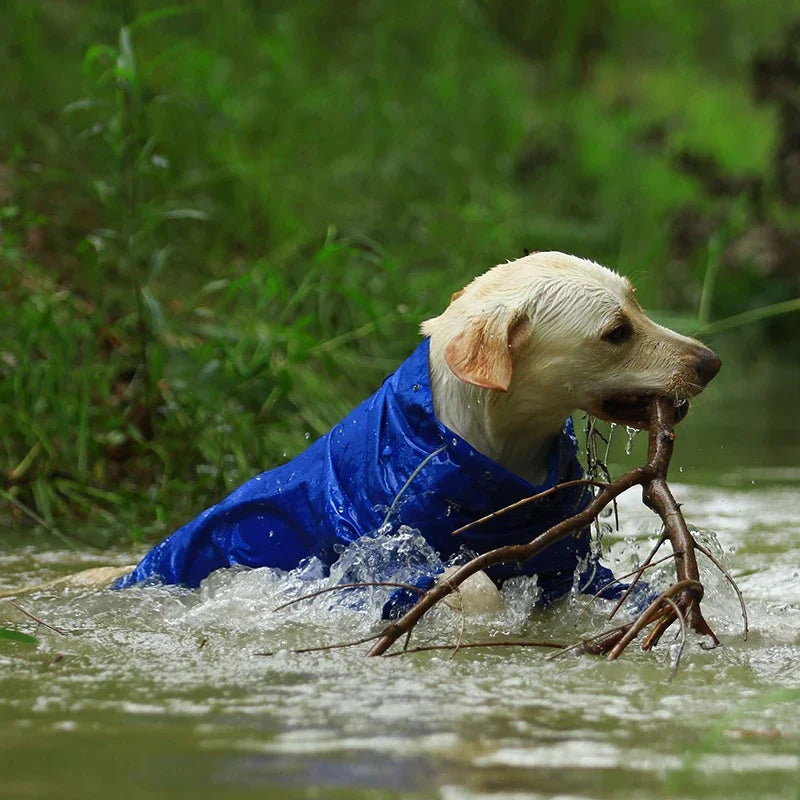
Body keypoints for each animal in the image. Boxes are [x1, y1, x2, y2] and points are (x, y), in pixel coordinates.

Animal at [114, 253, 720, 616]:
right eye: (616, 333)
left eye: (637, 303)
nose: (711, 363)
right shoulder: (381, 557)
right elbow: (468, 585)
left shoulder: (570, 563)